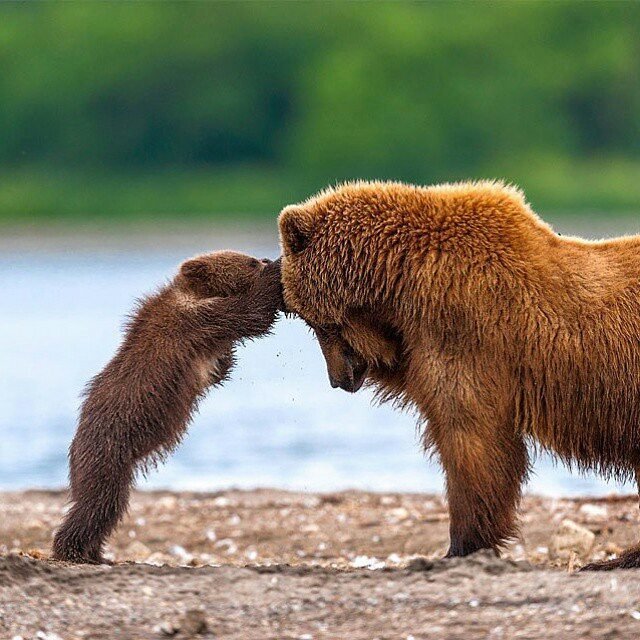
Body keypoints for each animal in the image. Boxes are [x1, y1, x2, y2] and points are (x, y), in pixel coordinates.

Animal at [52, 251, 283, 564]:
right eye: (248, 261)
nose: (264, 259)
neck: (196, 293)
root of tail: (75, 445)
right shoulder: (196, 320)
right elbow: (251, 313)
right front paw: (276, 271)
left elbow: (218, 367)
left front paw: (227, 360)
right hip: (107, 455)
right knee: (98, 504)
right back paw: (72, 550)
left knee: (107, 508)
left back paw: (97, 553)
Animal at [278, 179, 640, 571]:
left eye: (314, 322)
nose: (340, 378)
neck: (399, 276)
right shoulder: (420, 339)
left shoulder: (462, 328)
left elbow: (471, 438)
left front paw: (460, 546)